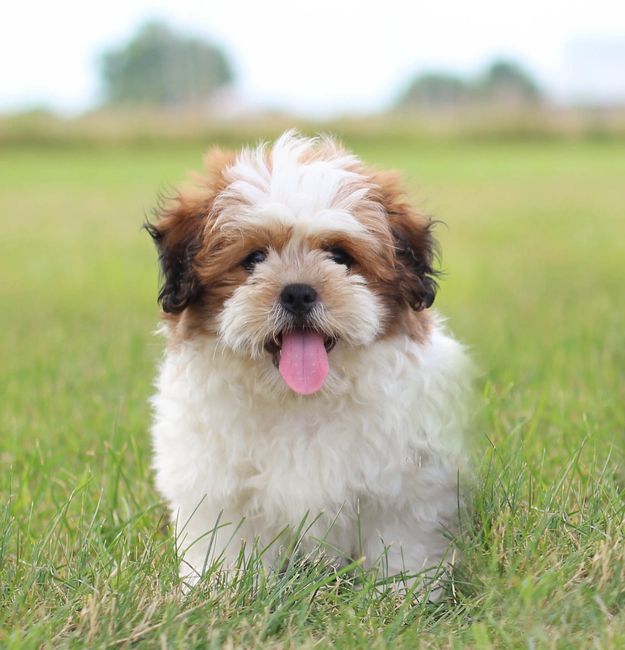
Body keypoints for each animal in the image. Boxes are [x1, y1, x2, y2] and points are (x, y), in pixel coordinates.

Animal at [146, 130, 470, 588]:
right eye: (253, 259)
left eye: (340, 256)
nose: (298, 292)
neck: (299, 399)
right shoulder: (218, 492)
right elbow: (224, 549)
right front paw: (220, 592)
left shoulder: (405, 489)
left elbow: (400, 547)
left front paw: (400, 594)